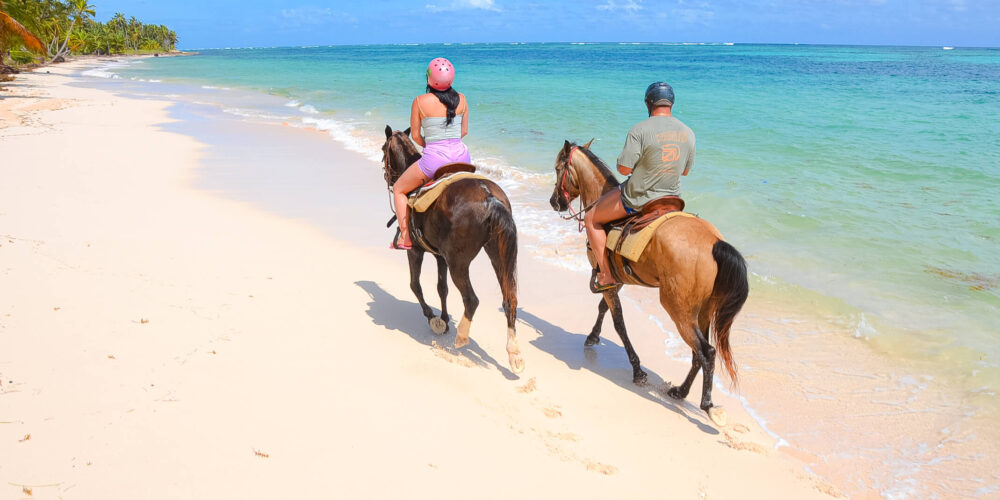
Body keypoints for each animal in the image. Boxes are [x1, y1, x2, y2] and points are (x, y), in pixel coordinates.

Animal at [380, 127, 524, 374]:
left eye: (383, 150)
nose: (388, 178)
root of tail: (489, 197)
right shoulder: (441, 256)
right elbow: (442, 288)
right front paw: (445, 319)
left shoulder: (416, 251)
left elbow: (415, 285)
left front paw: (434, 318)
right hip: (498, 253)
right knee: (509, 299)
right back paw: (513, 353)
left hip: (459, 262)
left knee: (471, 300)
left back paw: (461, 338)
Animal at [552, 140, 748, 426]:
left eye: (558, 168)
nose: (554, 201)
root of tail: (714, 243)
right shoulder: (615, 280)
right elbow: (604, 309)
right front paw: (593, 336)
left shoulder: (608, 281)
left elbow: (619, 322)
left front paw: (637, 369)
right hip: (703, 309)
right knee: (697, 353)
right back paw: (680, 391)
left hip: (678, 307)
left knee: (706, 351)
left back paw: (707, 404)